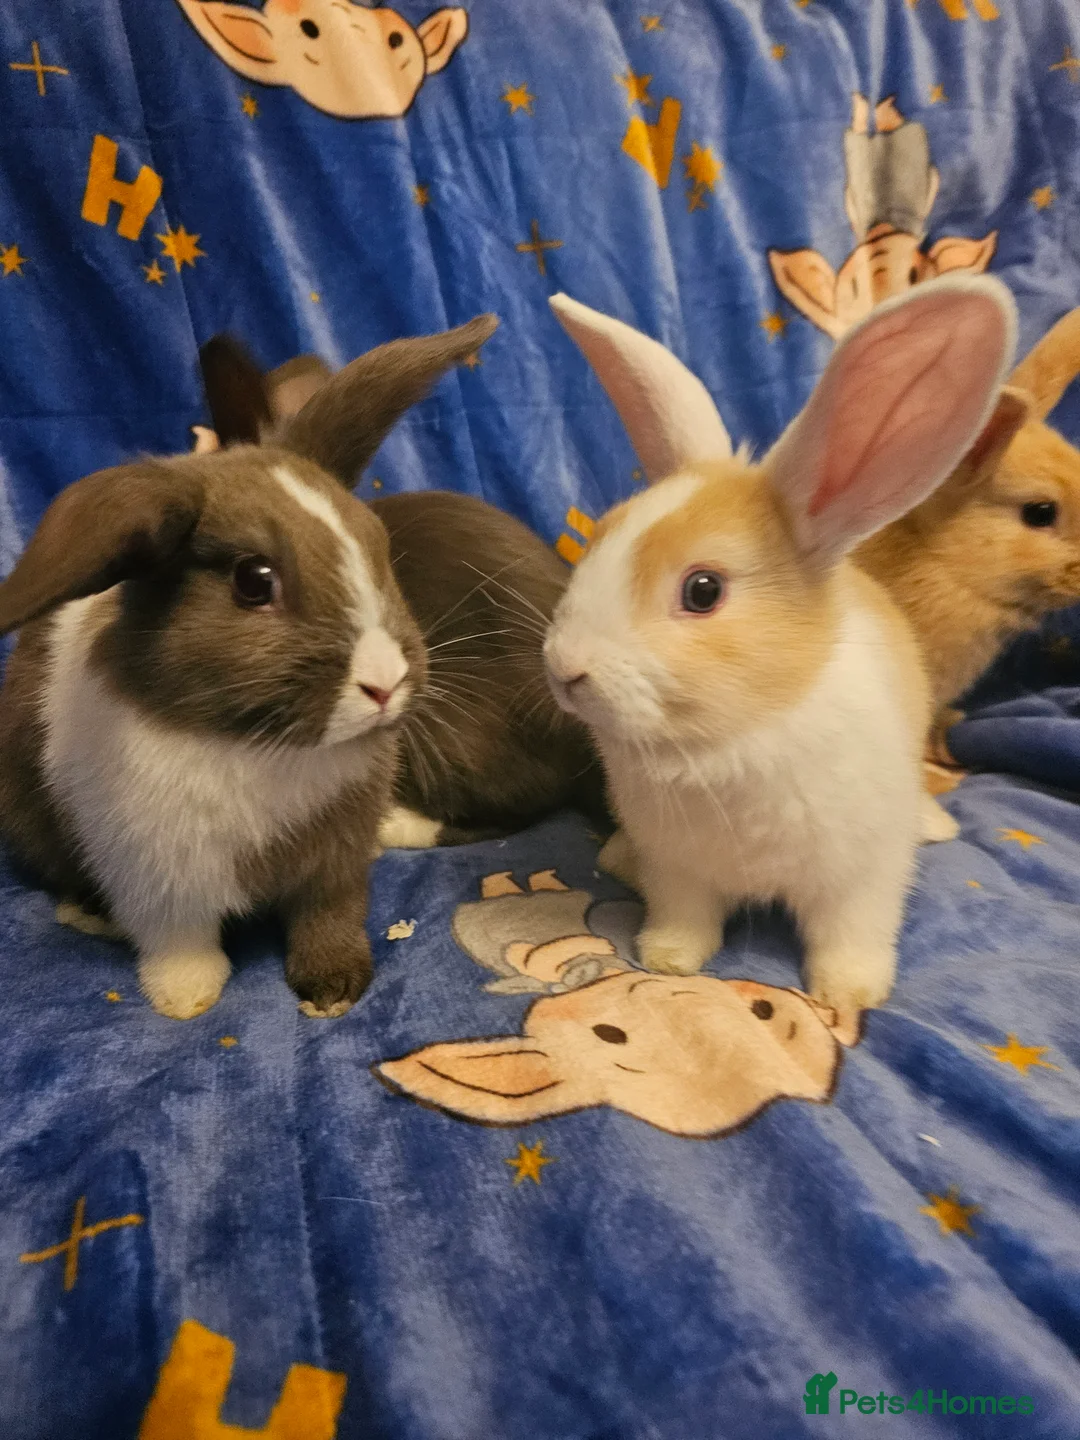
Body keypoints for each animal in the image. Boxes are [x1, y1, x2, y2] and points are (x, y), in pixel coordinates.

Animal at [0, 318, 499, 1022]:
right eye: (253, 580)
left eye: (380, 547)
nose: (385, 684)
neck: (259, 745)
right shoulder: (151, 873)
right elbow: (179, 938)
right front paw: (186, 998)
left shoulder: (335, 865)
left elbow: (330, 918)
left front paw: (334, 991)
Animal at [543, 278, 1016, 1029]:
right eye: (600, 539)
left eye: (703, 590)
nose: (565, 669)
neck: (735, 735)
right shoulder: (679, 870)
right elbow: (685, 919)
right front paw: (666, 959)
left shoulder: (861, 877)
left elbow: (852, 933)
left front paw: (849, 993)